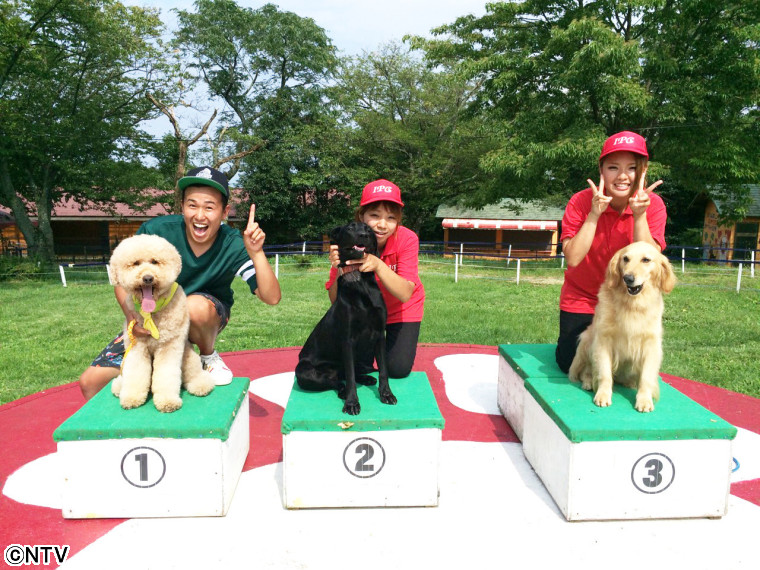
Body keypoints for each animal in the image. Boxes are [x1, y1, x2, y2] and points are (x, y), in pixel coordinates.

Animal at [108, 234, 215, 412]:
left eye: (155, 261)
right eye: (135, 263)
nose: (148, 278)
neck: (152, 314)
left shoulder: (169, 346)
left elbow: (166, 374)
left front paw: (167, 401)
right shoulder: (137, 347)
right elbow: (135, 373)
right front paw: (131, 397)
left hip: (188, 356)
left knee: (192, 373)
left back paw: (201, 384)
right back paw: (118, 386)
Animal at [295, 222, 396, 415]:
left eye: (369, 230)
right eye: (350, 228)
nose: (364, 235)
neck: (359, 280)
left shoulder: (380, 334)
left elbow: (383, 370)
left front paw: (386, 394)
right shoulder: (348, 340)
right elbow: (350, 378)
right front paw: (351, 403)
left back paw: (366, 379)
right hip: (304, 371)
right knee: (338, 381)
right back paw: (343, 391)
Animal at [568, 241, 676, 413]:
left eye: (646, 260)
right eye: (625, 259)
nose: (628, 278)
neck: (632, 305)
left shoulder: (651, 344)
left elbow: (646, 377)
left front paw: (644, 400)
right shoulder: (603, 341)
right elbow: (604, 373)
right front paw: (602, 395)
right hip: (586, 340)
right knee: (586, 371)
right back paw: (588, 382)